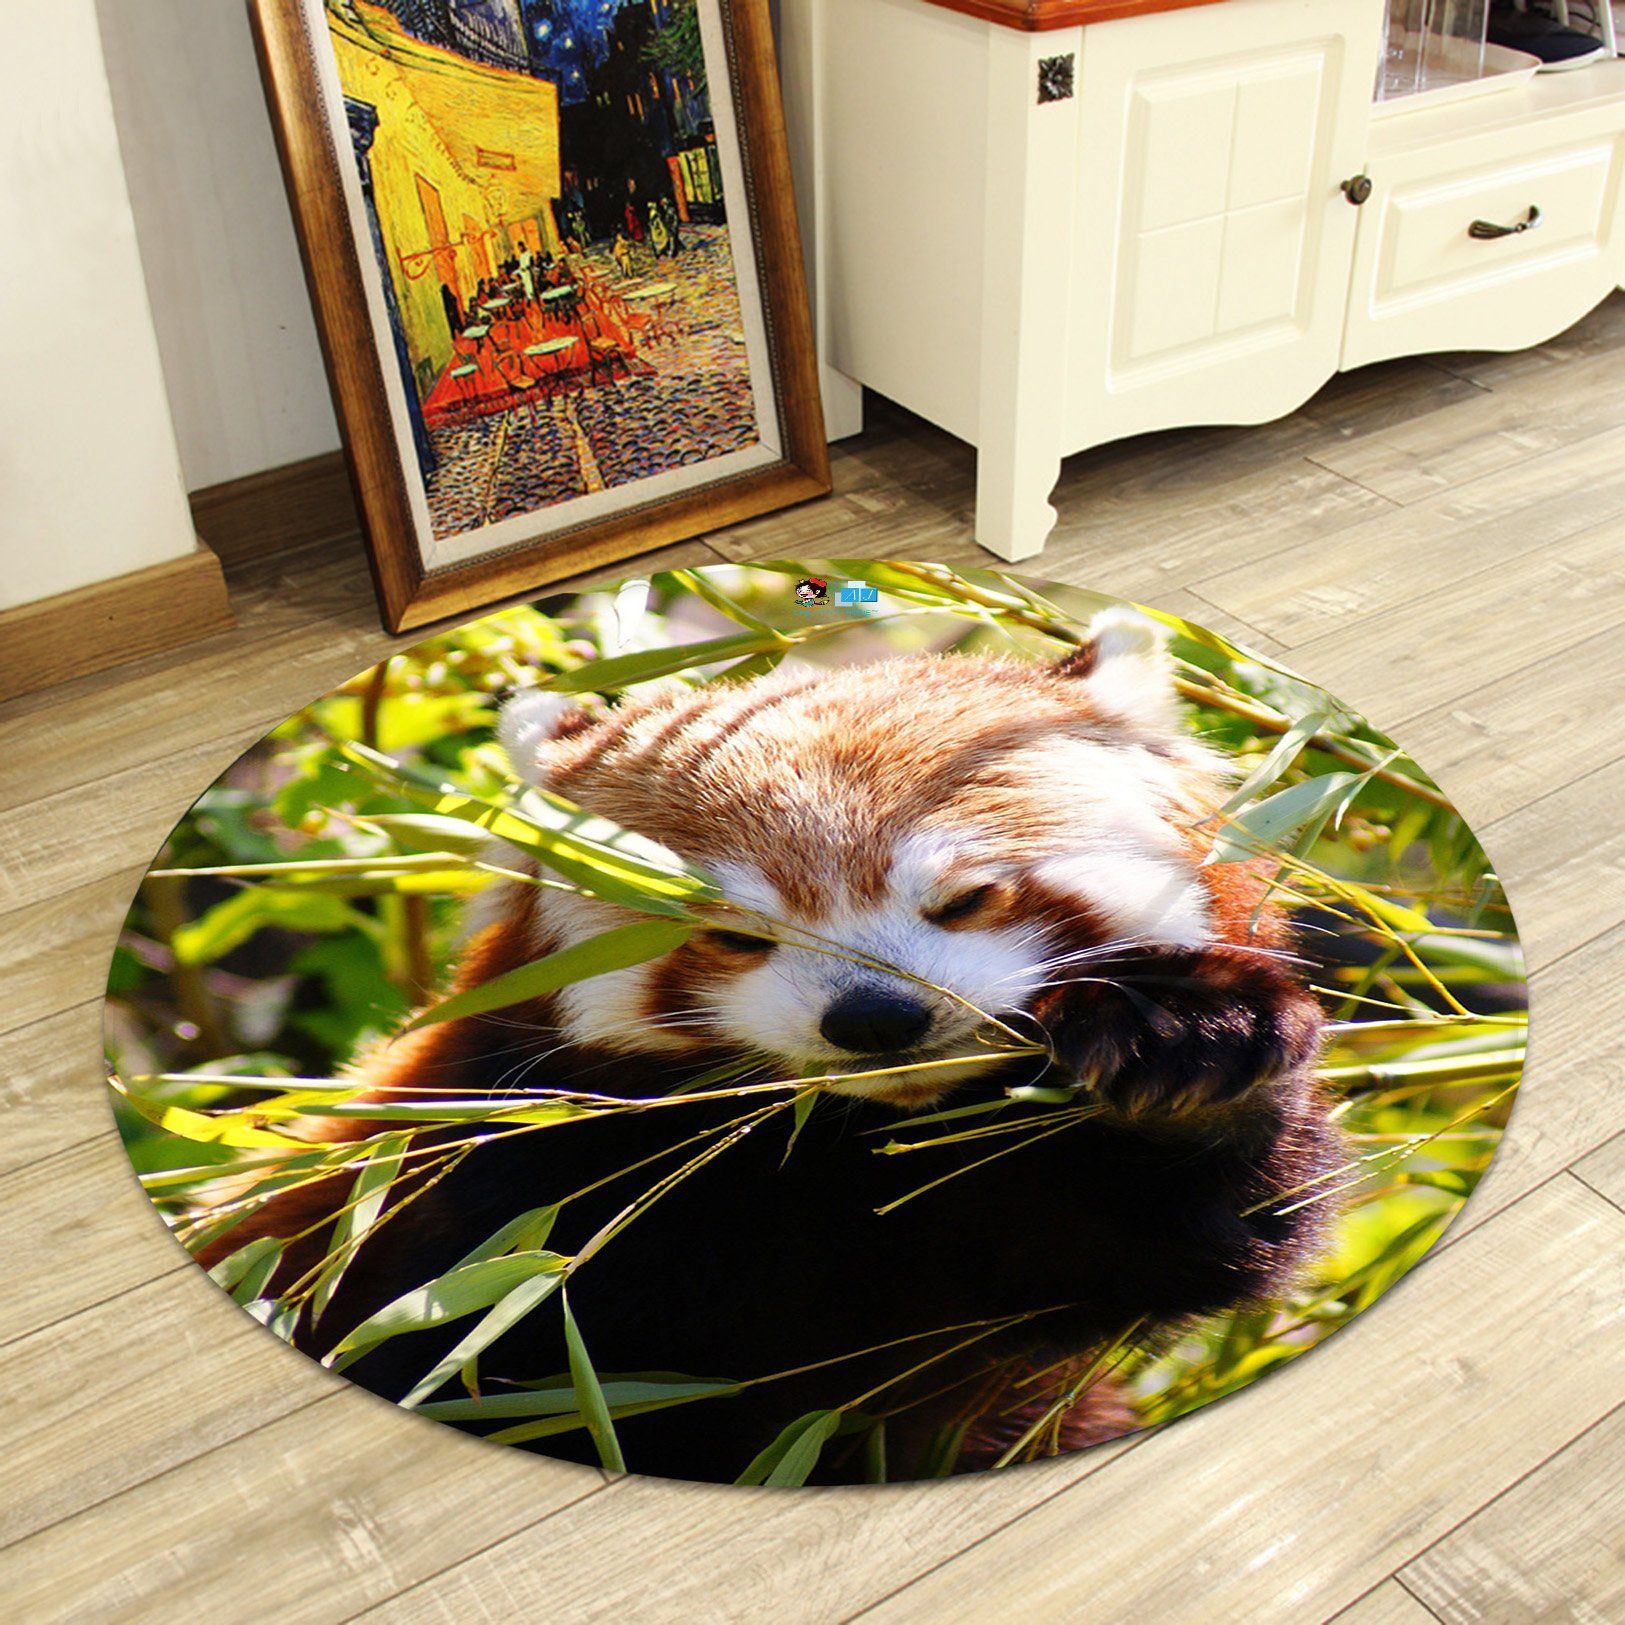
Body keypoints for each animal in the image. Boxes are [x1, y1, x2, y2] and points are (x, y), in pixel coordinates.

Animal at [200, 610, 1341, 1484]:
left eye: (966, 897)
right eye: (739, 935)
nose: (876, 1017)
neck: (841, 1159)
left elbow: (1193, 1224)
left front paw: (1192, 1046)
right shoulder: (492, 1184)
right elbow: (455, 1348)